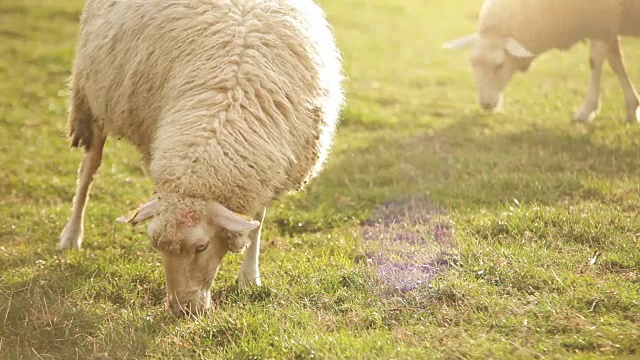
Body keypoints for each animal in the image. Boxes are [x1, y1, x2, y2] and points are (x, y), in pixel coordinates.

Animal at [58, 0, 344, 316]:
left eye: (202, 247)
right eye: (156, 245)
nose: (181, 310)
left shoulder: (266, 164)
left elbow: (256, 221)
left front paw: (249, 277)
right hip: (92, 96)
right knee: (89, 169)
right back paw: (71, 235)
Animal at [444, 0, 640, 123]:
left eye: (499, 65)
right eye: (472, 63)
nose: (486, 104)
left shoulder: (602, 21)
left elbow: (596, 61)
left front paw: (586, 111)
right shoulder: (608, 26)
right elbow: (616, 63)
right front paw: (632, 108)